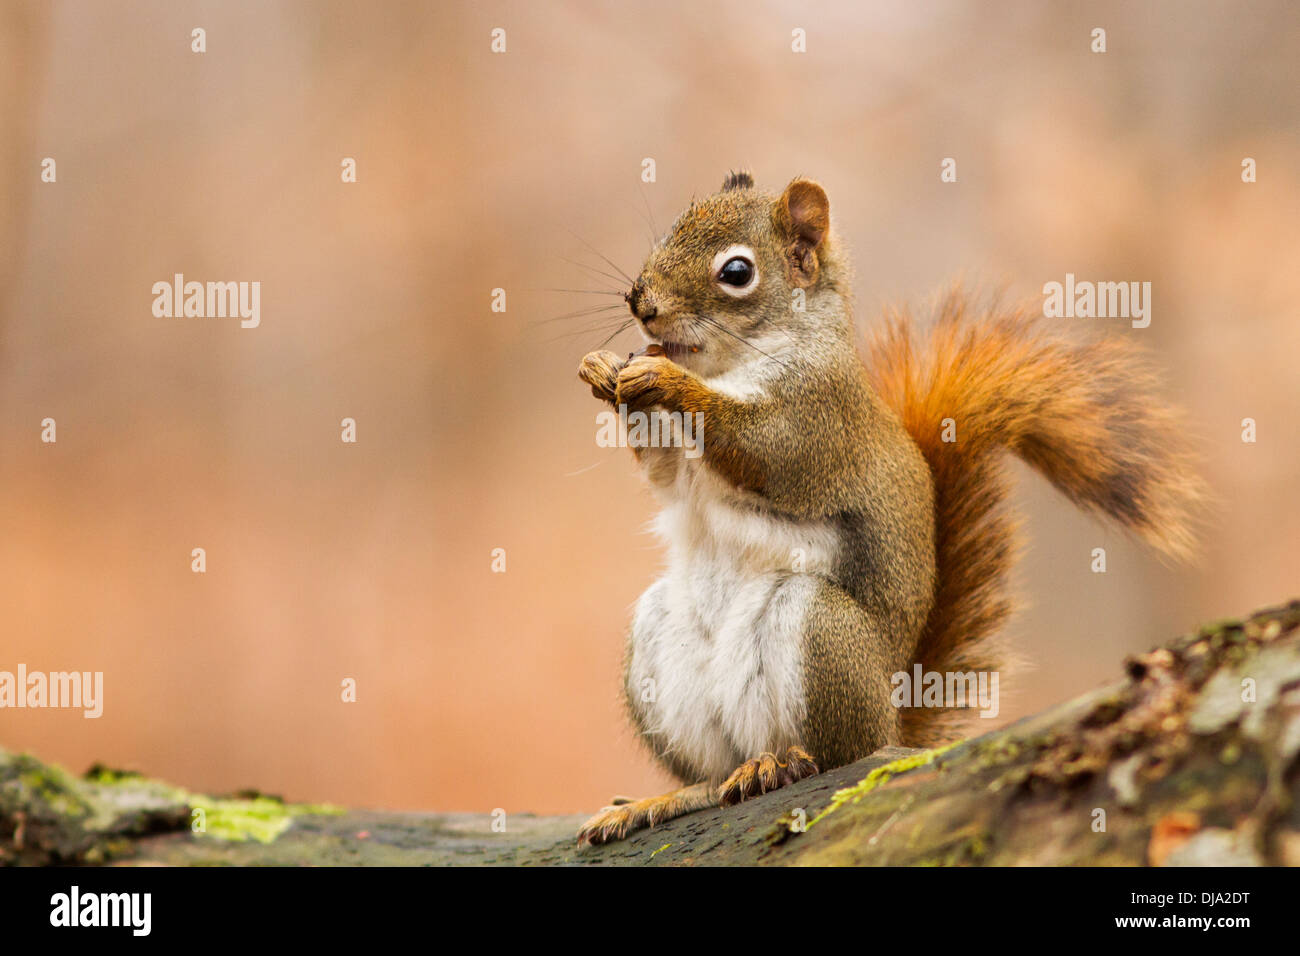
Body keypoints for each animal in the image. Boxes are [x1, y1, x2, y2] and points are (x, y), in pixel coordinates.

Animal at [574, 170, 1201, 842]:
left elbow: (761, 450)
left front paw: (670, 383)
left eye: (736, 272)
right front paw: (604, 368)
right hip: (659, 642)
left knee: (833, 753)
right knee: (713, 778)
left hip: (819, 629)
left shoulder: (820, 421)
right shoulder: (685, 471)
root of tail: (892, 722)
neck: (734, 364)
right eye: (671, 227)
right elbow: (666, 474)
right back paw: (663, 799)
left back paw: (783, 764)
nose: (641, 303)